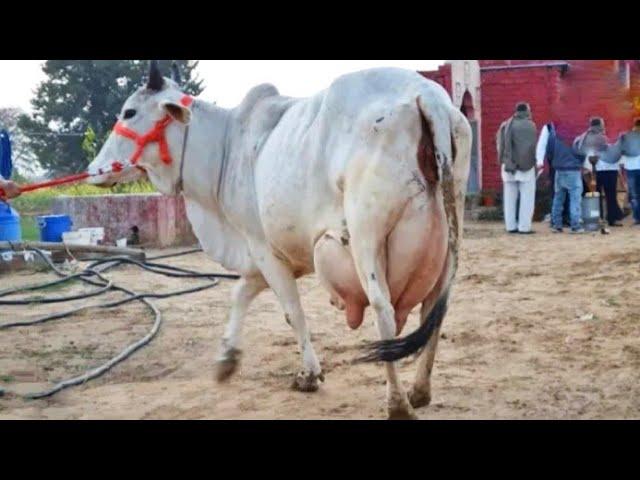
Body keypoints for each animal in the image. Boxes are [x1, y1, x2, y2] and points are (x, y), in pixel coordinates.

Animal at [89, 61, 470, 420]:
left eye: (129, 112)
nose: (94, 170)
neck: (226, 147)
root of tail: (427, 95)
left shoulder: (263, 249)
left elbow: (292, 313)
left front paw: (309, 375)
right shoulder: (264, 255)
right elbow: (240, 295)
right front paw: (227, 360)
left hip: (367, 234)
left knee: (384, 312)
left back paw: (398, 404)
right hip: (451, 231)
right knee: (435, 311)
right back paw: (420, 391)